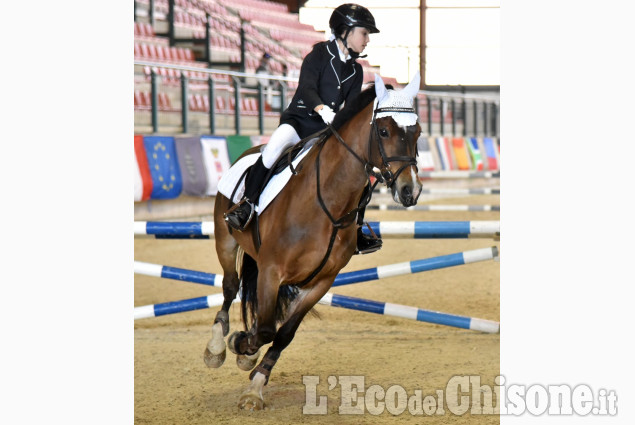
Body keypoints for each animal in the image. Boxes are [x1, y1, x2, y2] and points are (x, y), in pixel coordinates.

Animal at [204, 72, 422, 408]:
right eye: (384, 131)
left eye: (418, 133)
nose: (410, 191)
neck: (328, 202)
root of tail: (250, 151)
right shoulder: (271, 271)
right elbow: (265, 329)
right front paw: (242, 346)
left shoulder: (320, 282)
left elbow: (282, 334)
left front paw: (254, 381)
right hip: (226, 240)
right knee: (230, 287)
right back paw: (216, 347)